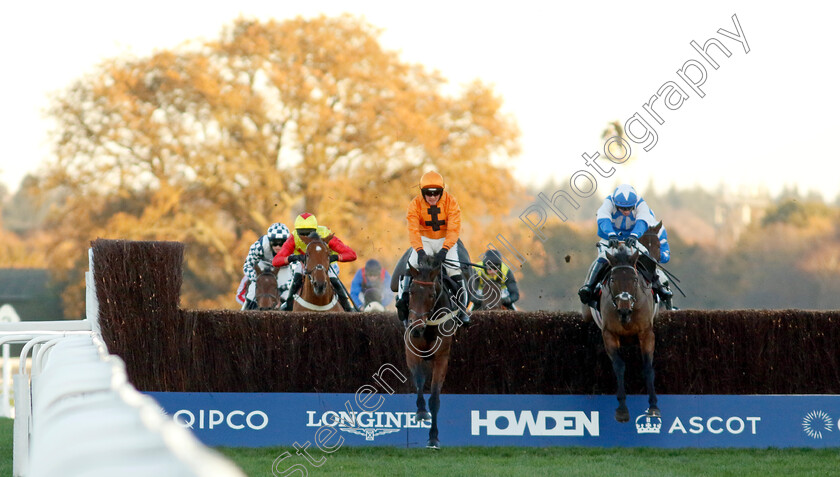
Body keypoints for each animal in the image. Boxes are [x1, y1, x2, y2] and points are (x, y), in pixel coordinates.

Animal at [404, 255, 456, 448]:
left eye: (432, 295)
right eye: (411, 292)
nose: (416, 327)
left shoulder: (442, 357)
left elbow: (434, 397)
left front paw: (433, 437)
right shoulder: (411, 352)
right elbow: (419, 380)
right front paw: (420, 411)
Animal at [588, 242, 660, 420]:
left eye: (634, 279)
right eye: (613, 279)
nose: (624, 308)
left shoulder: (646, 333)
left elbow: (648, 367)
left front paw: (653, 405)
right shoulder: (609, 334)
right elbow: (619, 366)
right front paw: (622, 407)